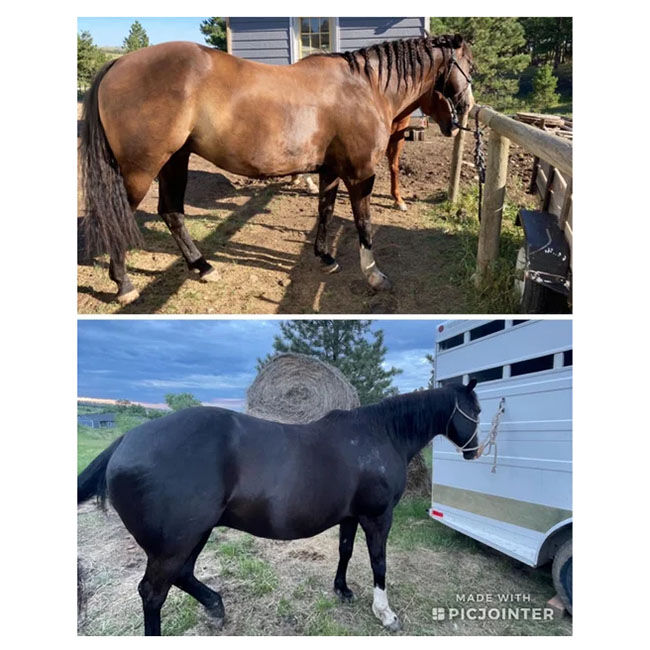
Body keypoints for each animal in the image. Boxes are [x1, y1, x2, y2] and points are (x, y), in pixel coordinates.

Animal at [77, 380, 482, 635]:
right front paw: (385, 614)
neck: (379, 435)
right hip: (174, 543)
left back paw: (216, 607)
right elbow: (379, 563)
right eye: (475, 410)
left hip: (192, 535)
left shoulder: (351, 517)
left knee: (183, 575)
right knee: (153, 593)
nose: (475, 452)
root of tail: (126, 440)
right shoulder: (377, 517)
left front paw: (342, 590)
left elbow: (345, 551)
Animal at [80, 34, 474, 305]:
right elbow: (363, 222)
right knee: (117, 218)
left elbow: (325, 212)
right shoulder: (360, 173)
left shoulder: (329, 170)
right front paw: (374, 275)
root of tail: (119, 63)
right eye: (468, 67)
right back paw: (124, 285)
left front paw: (325, 257)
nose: (466, 112)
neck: (364, 88)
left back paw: (202, 267)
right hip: (141, 169)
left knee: (171, 212)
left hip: (174, 160)